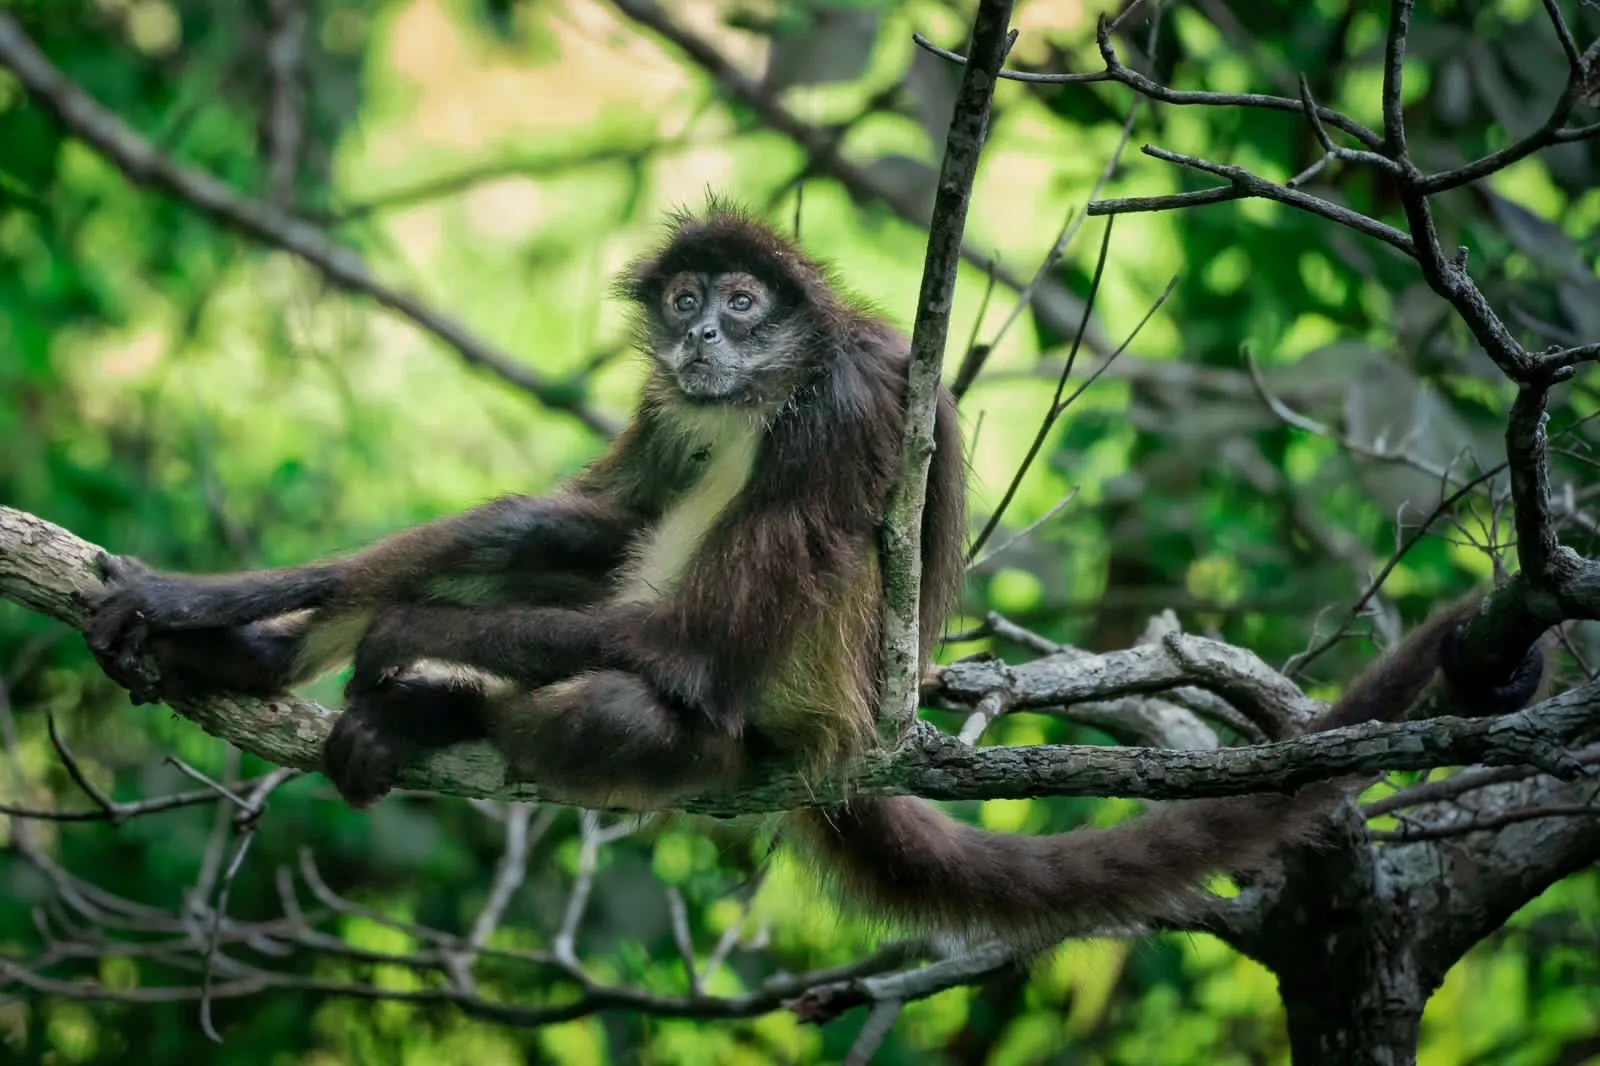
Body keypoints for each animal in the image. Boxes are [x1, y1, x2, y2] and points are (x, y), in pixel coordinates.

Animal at [79, 201, 1547, 948]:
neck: (762, 392)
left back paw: (431, 706)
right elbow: (570, 518)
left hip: (758, 724)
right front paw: (206, 609)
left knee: (636, 698)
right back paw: (268, 657)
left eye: (744, 304)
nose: (704, 339)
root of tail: (857, 742)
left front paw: (401, 654)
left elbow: (682, 646)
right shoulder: (675, 410)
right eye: (686, 304)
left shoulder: (842, 413)